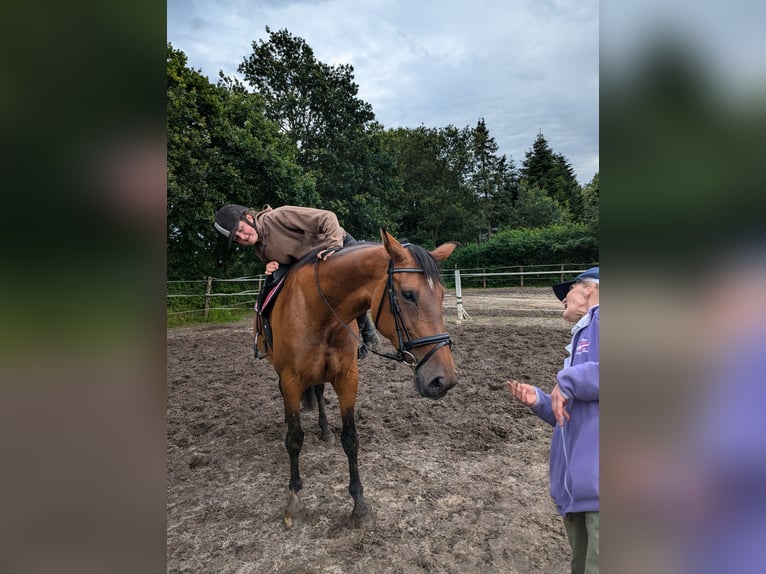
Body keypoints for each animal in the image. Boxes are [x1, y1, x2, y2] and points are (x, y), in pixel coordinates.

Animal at [260, 228, 460, 532]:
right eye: (408, 294)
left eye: (442, 295)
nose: (443, 380)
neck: (319, 311)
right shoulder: (291, 380)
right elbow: (294, 438)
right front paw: (294, 501)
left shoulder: (347, 378)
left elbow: (351, 439)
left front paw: (359, 506)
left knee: (319, 392)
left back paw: (325, 431)